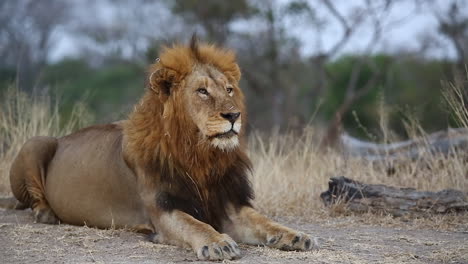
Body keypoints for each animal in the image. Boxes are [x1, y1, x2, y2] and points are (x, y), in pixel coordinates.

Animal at [7, 36, 316, 260]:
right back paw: (45, 213)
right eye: (202, 91)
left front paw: (296, 235)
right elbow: (195, 224)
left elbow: (264, 221)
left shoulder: (228, 203)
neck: (200, 155)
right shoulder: (162, 210)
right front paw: (218, 242)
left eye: (229, 89)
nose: (233, 115)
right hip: (37, 142)